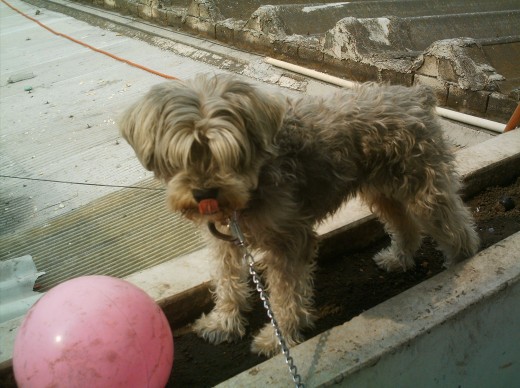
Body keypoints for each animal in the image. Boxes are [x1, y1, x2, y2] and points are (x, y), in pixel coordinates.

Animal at [119, 74, 480, 356]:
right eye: (179, 155)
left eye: (230, 155)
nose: (205, 194)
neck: (254, 184)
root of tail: (417, 96)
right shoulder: (225, 241)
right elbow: (227, 280)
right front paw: (224, 322)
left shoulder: (290, 240)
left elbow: (286, 293)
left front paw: (278, 337)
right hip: (383, 192)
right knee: (406, 227)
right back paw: (399, 258)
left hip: (424, 192)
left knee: (456, 227)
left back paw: (460, 263)